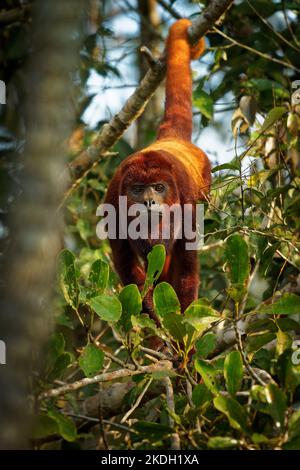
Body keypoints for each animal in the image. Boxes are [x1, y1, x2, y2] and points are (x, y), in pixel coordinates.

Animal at [105, 19, 211, 316]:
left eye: (159, 187)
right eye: (138, 189)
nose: (149, 202)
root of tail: (170, 139)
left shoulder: (186, 199)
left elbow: (187, 267)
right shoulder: (112, 197)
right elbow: (126, 264)